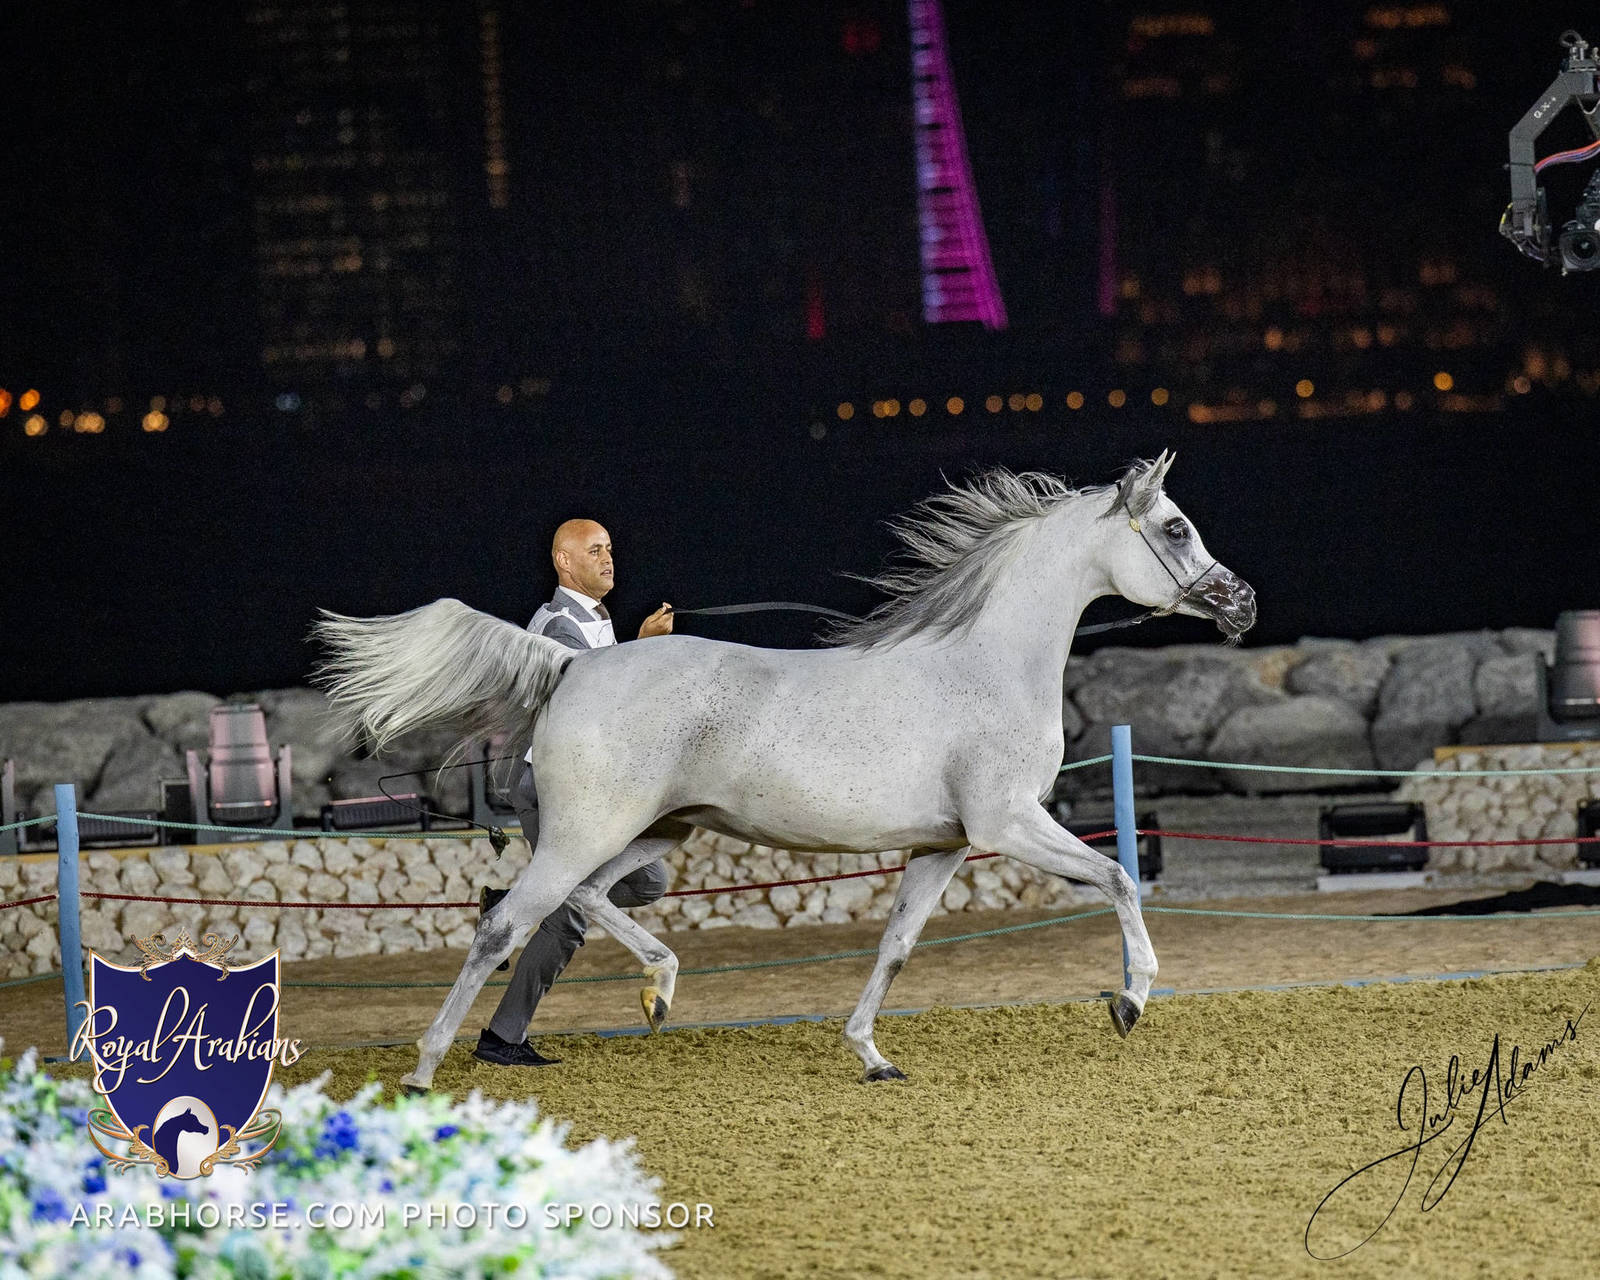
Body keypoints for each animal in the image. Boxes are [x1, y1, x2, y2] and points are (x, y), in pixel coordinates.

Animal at [314, 453, 1256, 1090]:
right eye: (1175, 526)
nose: (1241, 603)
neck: (985, 661)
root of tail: (573, 662)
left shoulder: (944, 847)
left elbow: (897, 946)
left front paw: (871, 1055)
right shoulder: (1009, 824)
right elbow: (1119, 878)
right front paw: (1130, 1001)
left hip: (650, 832)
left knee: (586, 901)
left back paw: (660, 991)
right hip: (587, 833)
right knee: (504, 925)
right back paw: (426, 1069)